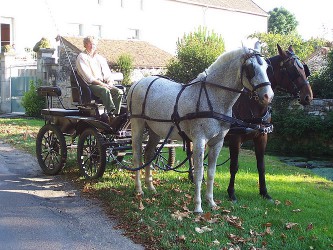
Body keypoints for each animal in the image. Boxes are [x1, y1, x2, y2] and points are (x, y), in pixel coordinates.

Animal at [126, 45, 274, 213]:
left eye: (266, 67)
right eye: (250, 68)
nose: (268, 96)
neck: (212, 98)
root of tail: (137, 83)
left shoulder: (217, 142)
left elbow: (211, 173)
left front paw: (211, 202)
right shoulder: (199, 141)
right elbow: (198, 173)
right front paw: (198, 206)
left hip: (155, 131)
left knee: (149, 154)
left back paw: (150, 187)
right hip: (138, 125)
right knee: (137, 156)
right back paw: (139, 189)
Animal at [224, 44, 312, 202]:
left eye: (304, 69)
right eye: (293, 70)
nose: (308, 96)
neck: (251, 104)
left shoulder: (262, 137)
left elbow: (261, 165)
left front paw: (264, 192)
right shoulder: (235, 138)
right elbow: (234, 166)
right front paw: (231, 193)